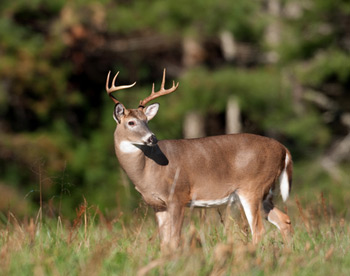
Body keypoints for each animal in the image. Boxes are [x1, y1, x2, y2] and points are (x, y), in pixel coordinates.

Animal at [106, 69, 292, 250]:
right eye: (131, 122)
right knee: (284, 220)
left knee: (259, 230)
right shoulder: (157, 205)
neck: (148, 169)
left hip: (253, 187)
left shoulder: (178, 196)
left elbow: (174, 239)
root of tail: (284, 149)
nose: (152, 138)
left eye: (146, 121)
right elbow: (164, 242)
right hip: (266, 191)